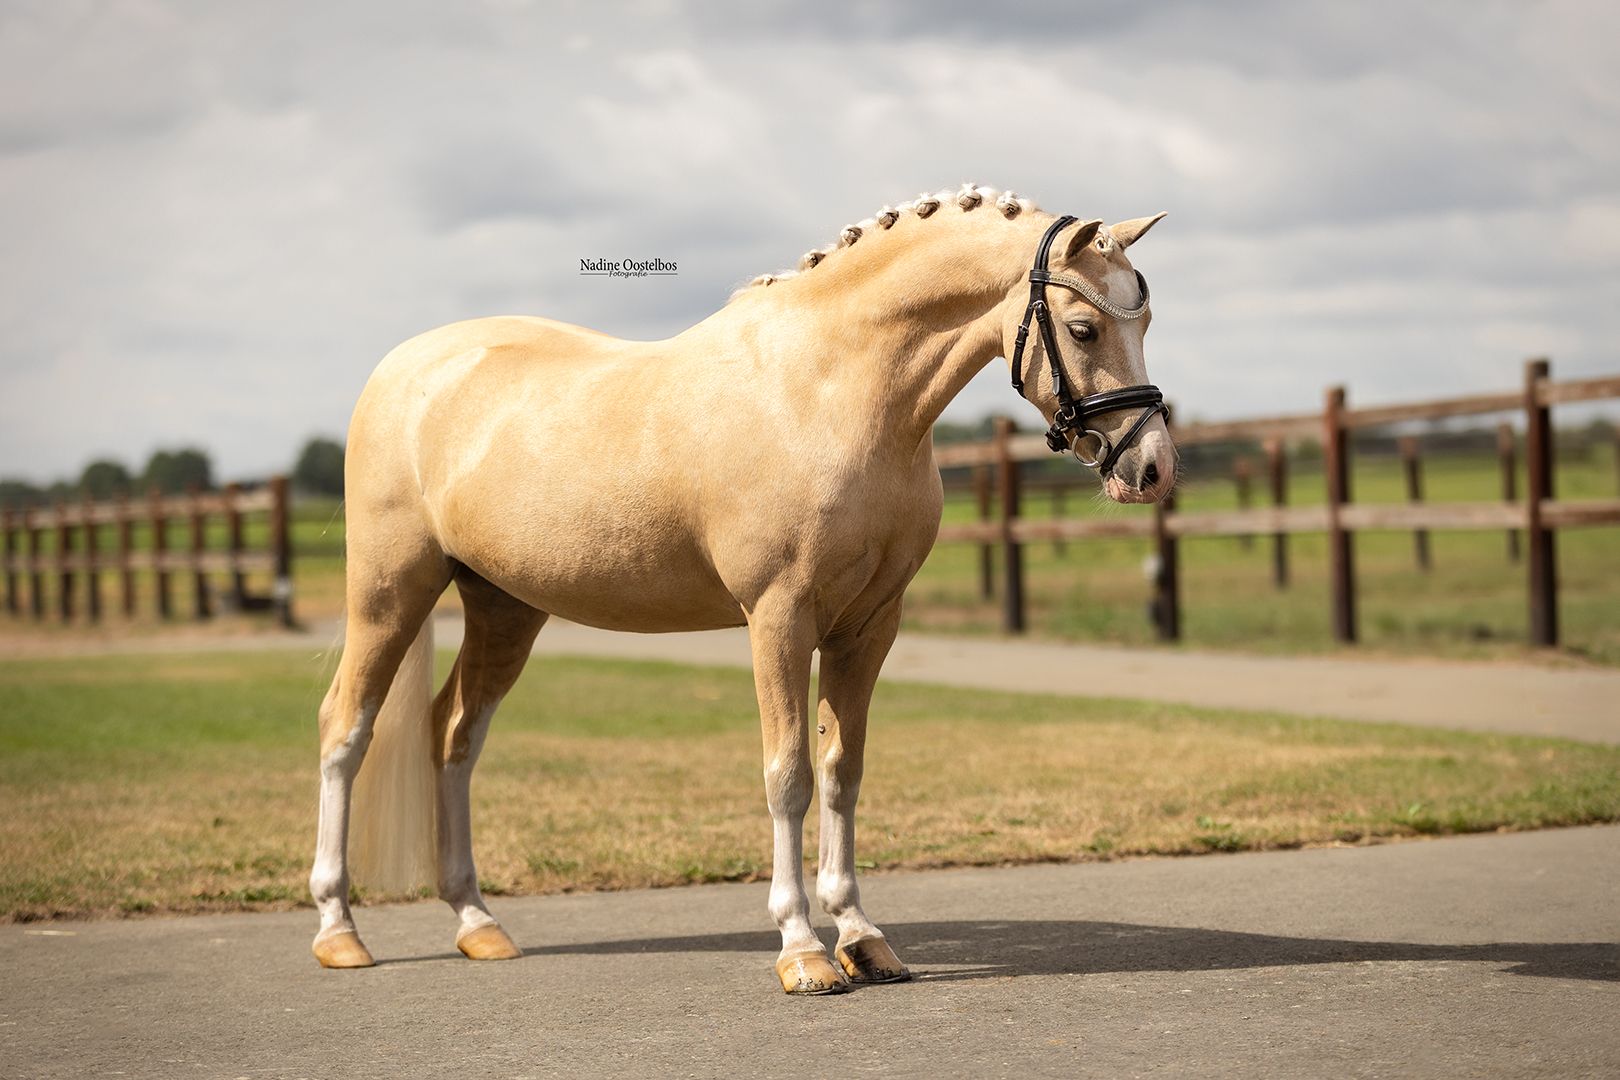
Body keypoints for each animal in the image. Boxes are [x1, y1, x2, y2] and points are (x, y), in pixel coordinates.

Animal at [309, 183, 1177, 994]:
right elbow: (788, 774)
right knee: (345, 729)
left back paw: (476, 922)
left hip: (504, 607)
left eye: (1145, 320)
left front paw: (862, 937)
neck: (833, 388)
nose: (1152, 469)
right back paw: (338, 929)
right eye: (1083, 328)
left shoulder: (869, 627)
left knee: (453, 735)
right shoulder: (779, 619)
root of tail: (406, 368)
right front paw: (803, 950)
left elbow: (842, 771)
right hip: (390, 593)